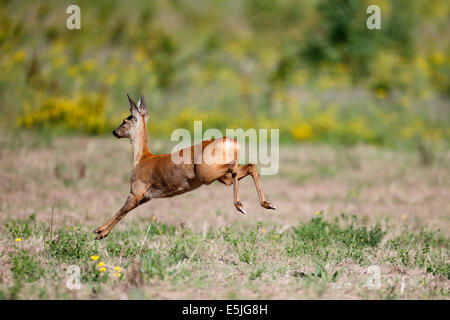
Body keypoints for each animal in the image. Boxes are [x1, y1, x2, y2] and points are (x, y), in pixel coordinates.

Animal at [93, 95, 276, 240]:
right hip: (221, 177)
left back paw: (241, 206)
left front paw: (99, 232)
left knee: (236, 168)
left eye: (126, 120)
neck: (141, 158)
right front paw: (100, 232)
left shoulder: (137, 190)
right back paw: (267, 204)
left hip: (206, 174)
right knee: (249, 167)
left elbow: (122, 211)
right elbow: (124, 212)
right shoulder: (146, 197)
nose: (114, 132)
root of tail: (232, 142)